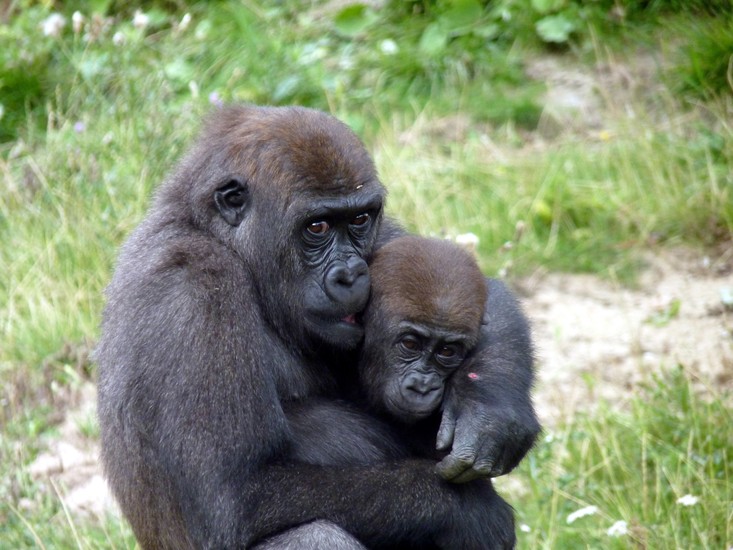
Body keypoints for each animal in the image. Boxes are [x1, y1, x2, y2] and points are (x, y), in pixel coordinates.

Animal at [97, 105, 538, 549]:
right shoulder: (191, 289)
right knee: (317, 535)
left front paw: (490, 411)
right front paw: (469, 512)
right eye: (317, 227)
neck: (218, 237)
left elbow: (468, 281)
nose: (352, 274)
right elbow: (233, 499)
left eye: (359, 219)